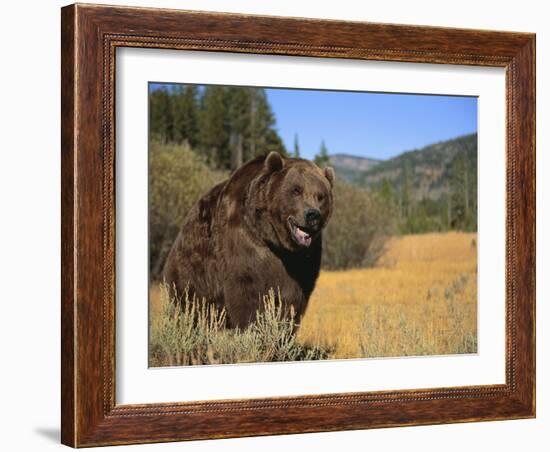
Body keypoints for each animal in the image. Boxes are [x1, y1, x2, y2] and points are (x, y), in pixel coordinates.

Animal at [163, 152, 336, 328]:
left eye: (321, 196)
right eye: (296, 190)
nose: (312, 215)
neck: (274, 240)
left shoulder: (303, 260)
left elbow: (292, 299)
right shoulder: (245, 241)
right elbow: (248, 293)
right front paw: (254, 327)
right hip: (193, 267)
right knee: (189, 303)